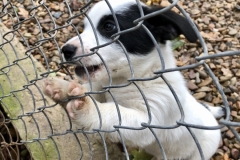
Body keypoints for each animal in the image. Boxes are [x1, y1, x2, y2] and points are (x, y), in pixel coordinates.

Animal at [42, 0, 223, 159]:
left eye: (109, 26)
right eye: (84, 28)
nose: (66, 50)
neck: (125, 81)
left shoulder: (148, 119)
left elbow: (113, 113)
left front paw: (87, 107)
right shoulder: (101, 88)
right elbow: (89, 91)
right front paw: (62, 88)